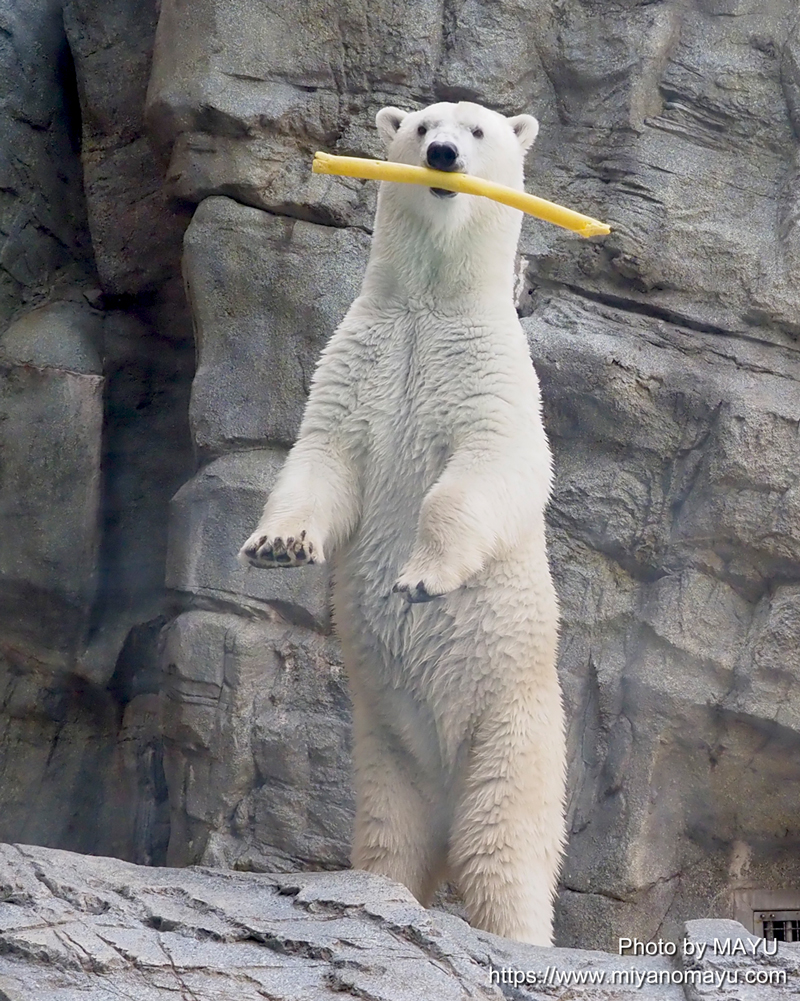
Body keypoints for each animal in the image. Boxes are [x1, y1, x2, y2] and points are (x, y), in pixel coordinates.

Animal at [239, 101, 566, 946]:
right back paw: (378, 891)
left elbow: (491, 466)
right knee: (393, 833)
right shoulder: (362, 358)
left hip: (513, 731)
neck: (428, 308)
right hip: (386, 745)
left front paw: (421, 577)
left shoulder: (489, 371)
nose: (445, 154)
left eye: (479, 130)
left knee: (503, 849)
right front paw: (277, 545)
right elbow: (321, 458)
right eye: (421, 126)